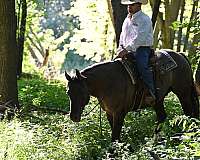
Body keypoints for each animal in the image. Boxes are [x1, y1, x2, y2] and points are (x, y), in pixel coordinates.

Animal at [65, 50, 199, 141]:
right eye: (68, 92)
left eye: (81, 92)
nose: (74, 117)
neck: (109, 83)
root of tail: (180, 55)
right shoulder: (110, 113)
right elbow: (115, 135)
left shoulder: (119, 113)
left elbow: (115, 136)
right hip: (158, 100)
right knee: (162, 116)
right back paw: (155, 141)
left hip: (183, 93)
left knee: (189, 114)